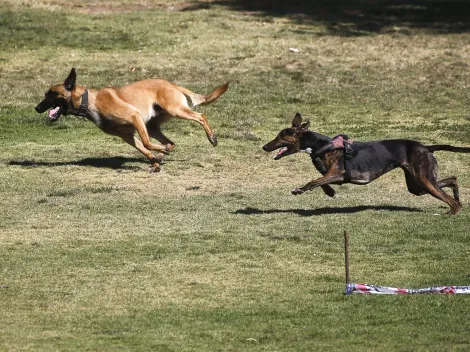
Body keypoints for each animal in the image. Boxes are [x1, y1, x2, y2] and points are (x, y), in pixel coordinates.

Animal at [35, 67, 229, 172]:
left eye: (51, 94)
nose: (36, 108)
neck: (89, 100)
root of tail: (172, 84)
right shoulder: (126, 135)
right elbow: (144, 149)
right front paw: (155, 162)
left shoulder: (134, 117)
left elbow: (147, 144)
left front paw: (158, 154)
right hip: (152, 126)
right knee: (171, 142)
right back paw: (161, 155)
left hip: (175, 110)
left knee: (200, 116)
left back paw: (212, 138)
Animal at [264, 113, 470, 214]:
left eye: (282, 136)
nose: (265, 147)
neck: (321, 145)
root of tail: (426, 147)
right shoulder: (334, 176)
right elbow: (320, 182)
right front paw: (330, 192)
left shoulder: (337, 173)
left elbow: (313, 181)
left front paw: (299, 189)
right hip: (418, 185)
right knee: (452, 179)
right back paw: (457, 196)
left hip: (424, 179)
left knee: (452, 201)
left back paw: (450, 212)